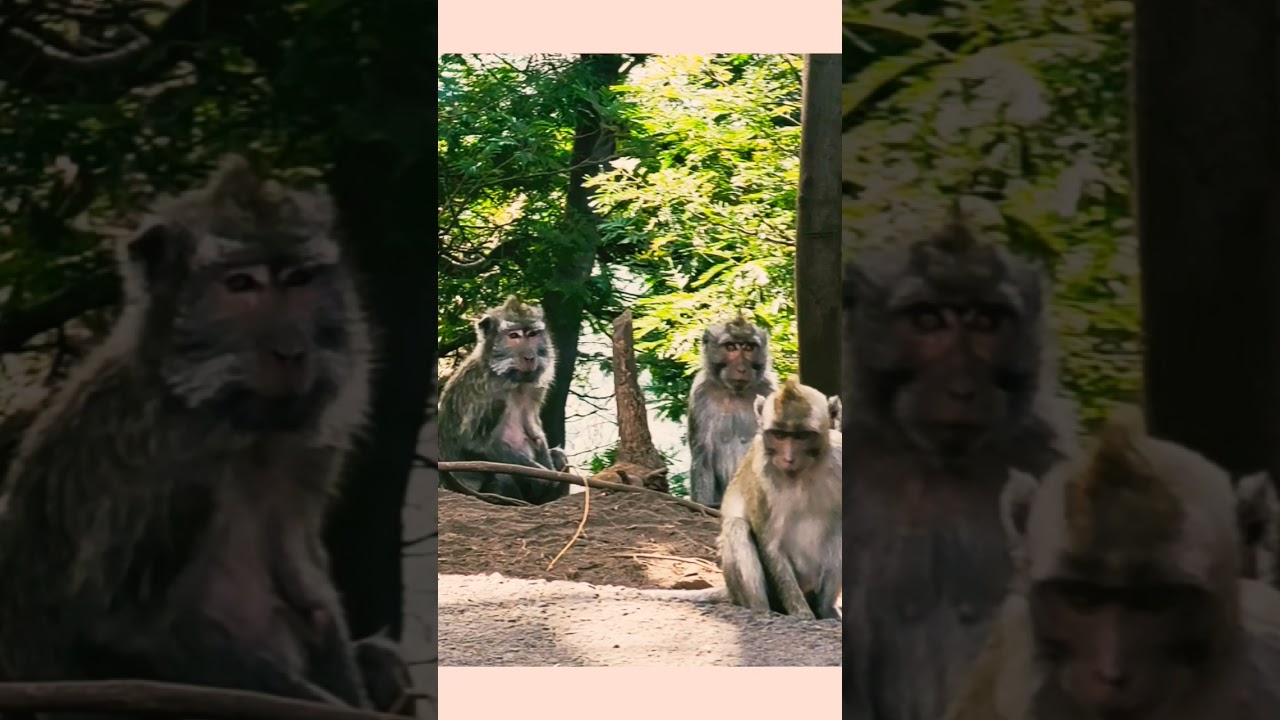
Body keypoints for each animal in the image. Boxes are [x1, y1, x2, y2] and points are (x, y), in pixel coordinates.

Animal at [0, 155, 415, 718]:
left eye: (298, 279)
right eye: (240, 284)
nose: (291, 351)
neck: (231, 420)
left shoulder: (306, 450)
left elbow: (308, 584)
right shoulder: (158, 467)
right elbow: (126, 631)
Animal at [437, 297, 567, 505]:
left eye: (532, 334)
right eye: (513, 335)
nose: (529, 356)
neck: (511, 379)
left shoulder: (534, 389)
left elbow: (535, 431)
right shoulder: (489, 394)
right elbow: (475, 444)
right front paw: (540, 476)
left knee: (559, 455)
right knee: (501, 474)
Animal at [644, 376, 841, 620]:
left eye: (802, 436)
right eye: (779, 435)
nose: (788, 458)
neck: (803, 472)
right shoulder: (761, 476)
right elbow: (770, 545)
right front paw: (802, 614)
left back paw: (826, 609)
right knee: (737, 527)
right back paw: (762, 609)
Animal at [686, 312, 779, 509]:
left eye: (749, 347)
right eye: (730, 347)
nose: (742, 368)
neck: (734, 392)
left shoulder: (769, 390)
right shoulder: (700, 394)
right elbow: (703, 456)